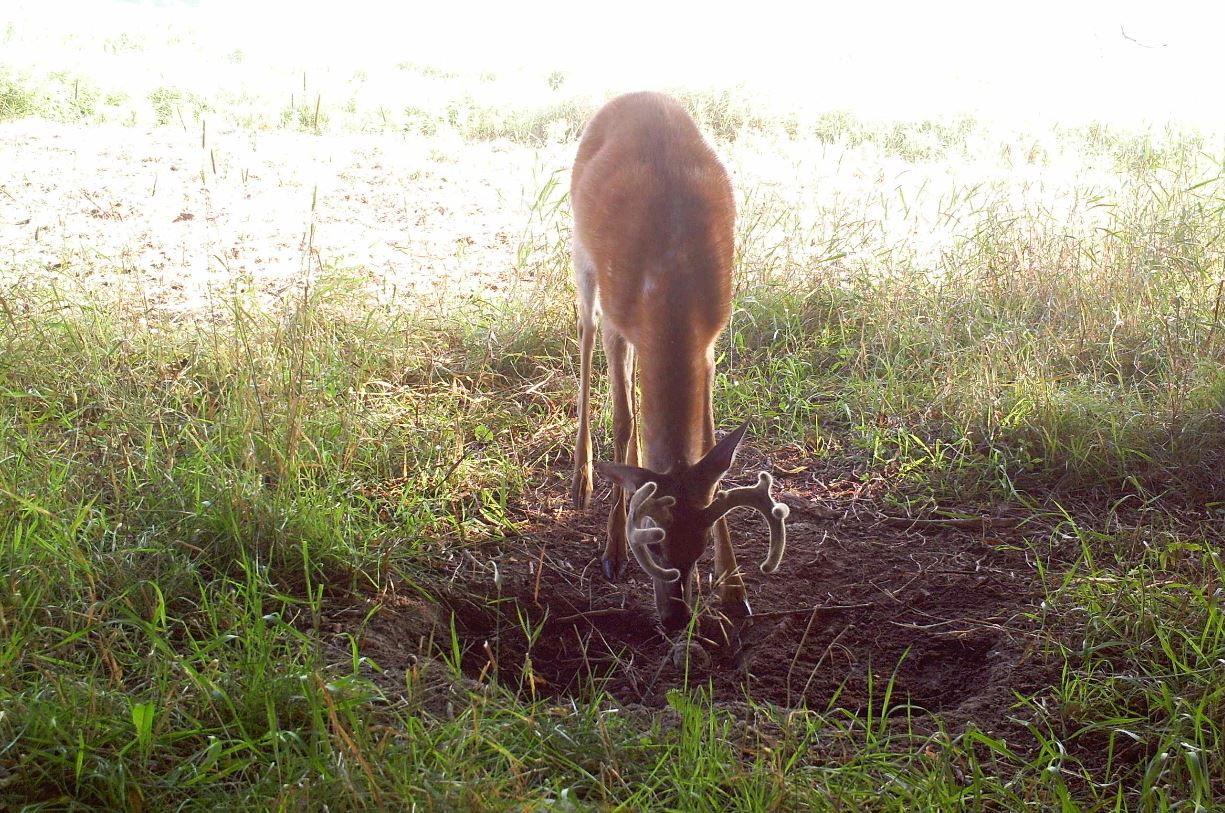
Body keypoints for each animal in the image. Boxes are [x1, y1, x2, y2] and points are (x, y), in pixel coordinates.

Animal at [568, 90, 788, 636]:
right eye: (653, 539)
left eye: (699, 548)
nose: (675, 616)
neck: (671, 281)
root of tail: (636, 94)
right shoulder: (620, 322)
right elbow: (624, 421)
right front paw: (612, 550)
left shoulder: (709, 341)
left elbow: (709, 446)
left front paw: (735, 590)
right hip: (582, 254)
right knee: (583, 335)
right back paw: (581, 476)